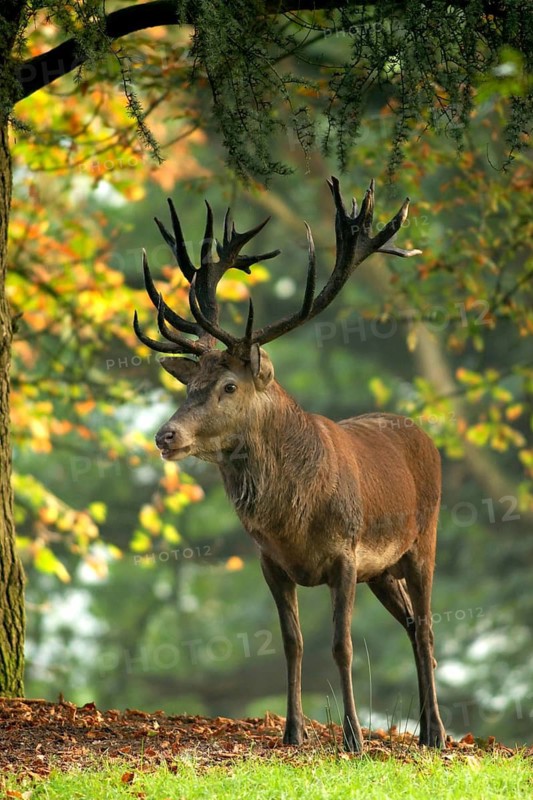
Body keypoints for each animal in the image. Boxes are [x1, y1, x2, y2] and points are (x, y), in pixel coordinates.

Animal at [133, 177, 447, 752]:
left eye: (228, 386)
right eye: (189, 386)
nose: (165, 435)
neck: (293, 518)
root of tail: (423, 434)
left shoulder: (345, 553)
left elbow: (342, 645)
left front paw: (353, 740)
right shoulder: (271, 562)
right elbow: (292, 642)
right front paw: (292, 732)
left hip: (423, 540)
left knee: (429, 624)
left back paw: (435, 732)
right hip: (382, 571)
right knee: (413, 624)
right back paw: (419, 729)